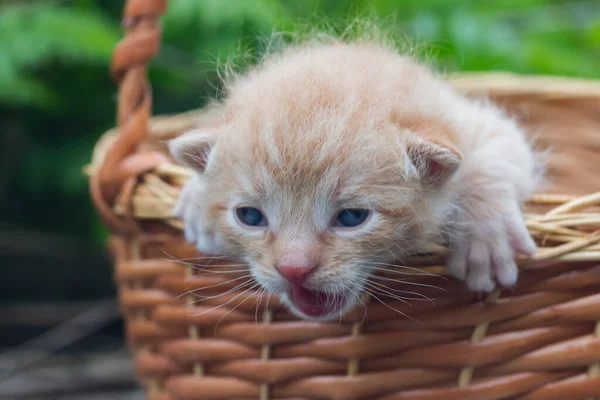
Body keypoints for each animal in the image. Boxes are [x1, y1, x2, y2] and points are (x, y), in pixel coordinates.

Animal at [169, 41, 540, 322]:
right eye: (249, 216)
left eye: (351, 217)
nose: (293, 269)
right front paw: (197, 200)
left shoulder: (474, 122)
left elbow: (493, 157)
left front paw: (486, 236)